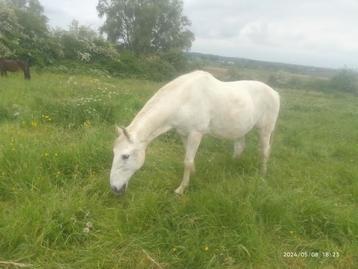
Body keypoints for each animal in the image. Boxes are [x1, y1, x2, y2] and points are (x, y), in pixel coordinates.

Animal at [109, 70, 280, 194]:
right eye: (114, 153)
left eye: (125, 156)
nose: (114, 188)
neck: (183, 100)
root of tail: (275, 93)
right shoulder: (184, 134)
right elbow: (189, 159)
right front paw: (194, 176)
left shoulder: (195, 134)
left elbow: (187, 161)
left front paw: (181, 190)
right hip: (240, 129)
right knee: (239, 147)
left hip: (265, 130)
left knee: (264, 151)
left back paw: (262, 175)